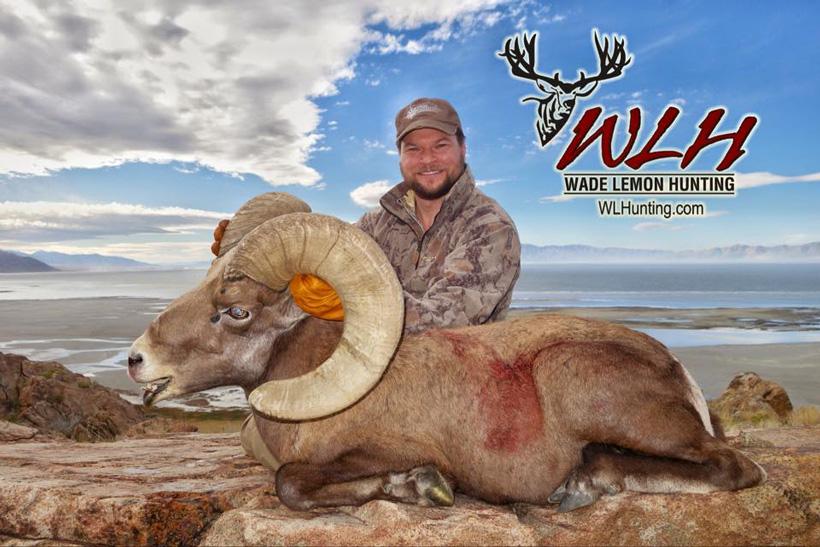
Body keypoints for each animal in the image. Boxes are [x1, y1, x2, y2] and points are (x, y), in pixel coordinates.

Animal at [128, 192, 765, 512]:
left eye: (236, 310)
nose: (136, 360)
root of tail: (679, 374)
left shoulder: (376, 451)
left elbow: (289, 484)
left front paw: (422, 488)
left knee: (733, 468)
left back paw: (581, 484)